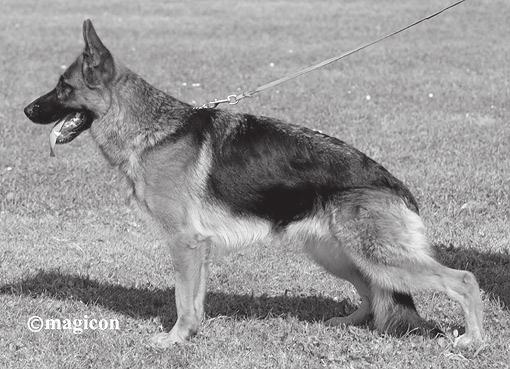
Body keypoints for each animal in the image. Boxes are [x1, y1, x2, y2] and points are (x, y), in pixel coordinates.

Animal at [23, 19, 484, 348]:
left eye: (63, 87)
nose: (26, 110)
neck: (153, 130)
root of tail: (394, 185)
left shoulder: (184, 242)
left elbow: (181, 300)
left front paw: (173, 340)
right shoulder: (199, 247)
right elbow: (195, 300)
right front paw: (191, 336)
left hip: (376, 256)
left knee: (463, 280)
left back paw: (472, 342)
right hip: (336, 254)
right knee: (372, 292)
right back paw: (348, 322)